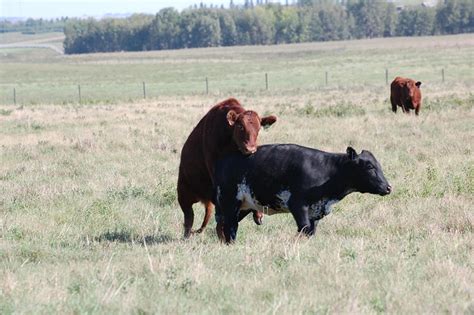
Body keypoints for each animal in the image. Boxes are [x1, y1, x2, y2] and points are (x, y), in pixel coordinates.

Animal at [177, 97, 278, 238]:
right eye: (240, 126)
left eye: (258, 128)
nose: (250, 149)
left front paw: (258, 213)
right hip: (184, 194)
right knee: (189, 218)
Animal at [215, 144, 392, 243]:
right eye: (369, 166)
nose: (388, 187)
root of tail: (223, 160)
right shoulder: (298, 205)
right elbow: (304, 228)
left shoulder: (315, 211)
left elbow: (311, 231)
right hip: (230, 202)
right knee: (230, 226)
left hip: (243, 207)